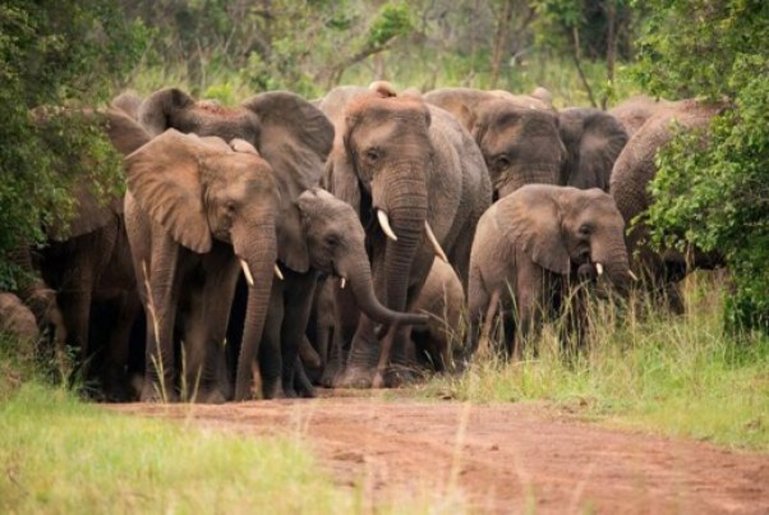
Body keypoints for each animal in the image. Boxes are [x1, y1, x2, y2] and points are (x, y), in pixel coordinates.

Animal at [320, 84, 488, 390]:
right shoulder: (336, 178)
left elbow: (384, 272)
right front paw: (337, 380)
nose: (379, 328)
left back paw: (410, 376)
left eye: (430, 158)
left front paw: (358, 380)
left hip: (475, 201)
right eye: (372, 155)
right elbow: (345, 273)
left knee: (441, 268)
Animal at [464, 185, 632, 358]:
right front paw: (526, 362)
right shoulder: (529, 252)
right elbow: (533, 307)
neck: (565, 197)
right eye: (585, 230)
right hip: (476, 266)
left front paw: (574, 362)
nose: (587, 269)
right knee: (479, 317)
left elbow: (574, 310)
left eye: (622, 227)